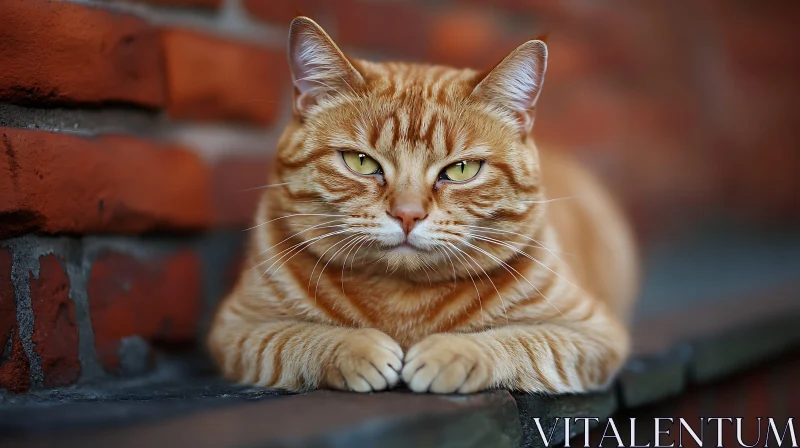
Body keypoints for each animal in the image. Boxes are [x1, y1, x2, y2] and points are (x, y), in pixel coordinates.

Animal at [206, 16, 636, 396]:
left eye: (461, 169)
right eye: (361, 162)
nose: (408, 214)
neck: (403, 303)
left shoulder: (591, 334)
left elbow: (517, 341)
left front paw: (451, 352)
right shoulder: (238, 329)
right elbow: (297, 339)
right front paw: (358, 347)